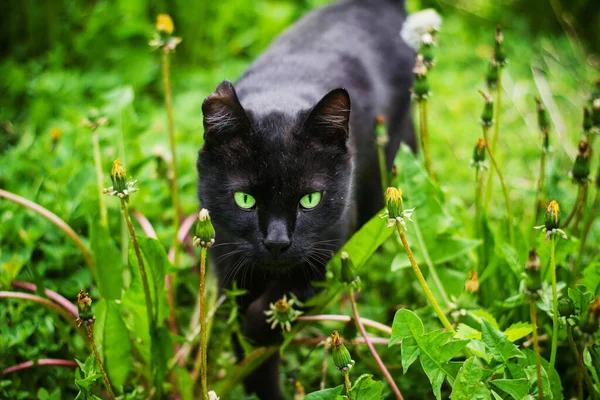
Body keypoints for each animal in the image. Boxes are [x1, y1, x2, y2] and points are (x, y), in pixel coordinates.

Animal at [196, 0, 412, 396]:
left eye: (310, 200)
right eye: (245, 200)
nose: (277, 242)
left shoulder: (328, 253)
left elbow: (279, 302)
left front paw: (260, 327)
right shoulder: (228, 266)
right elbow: (248, 353)